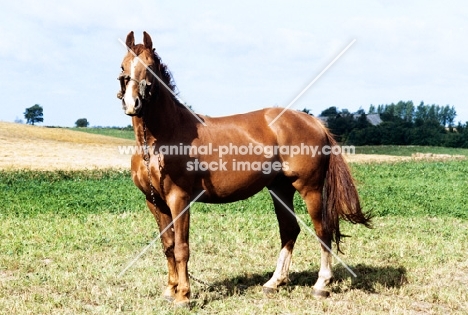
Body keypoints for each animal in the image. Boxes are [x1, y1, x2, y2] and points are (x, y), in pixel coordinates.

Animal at [119, 30, 372, 308]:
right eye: (123, 67)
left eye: (150, 68)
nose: (132, 103)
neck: (162, 138)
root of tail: (315, 122)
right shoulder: (154, 202)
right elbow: (167, 245)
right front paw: (170, 289)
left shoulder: (179, 199)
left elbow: (181, 247)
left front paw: (184, 296)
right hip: (280, 189)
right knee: (289, 230)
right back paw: (274, 283)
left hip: (311, 189)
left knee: (322, 231)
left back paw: (321, 285)